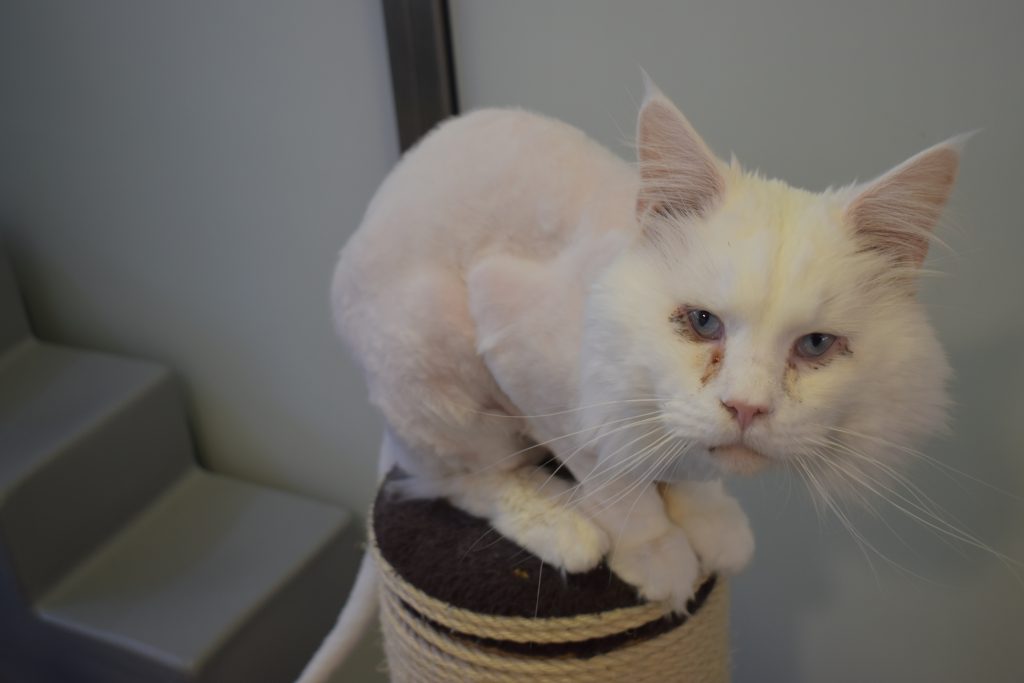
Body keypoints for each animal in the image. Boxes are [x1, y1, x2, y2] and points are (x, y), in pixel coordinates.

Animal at [296, 77, 958, 679]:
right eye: (701, 323)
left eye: (815, 345)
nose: (746, 409)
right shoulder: (522, 356)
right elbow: (619, 485)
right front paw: (660, 557)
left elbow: (689, 474)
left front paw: (712, 526)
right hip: (435, 361)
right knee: (462, 481)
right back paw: (567, 527)